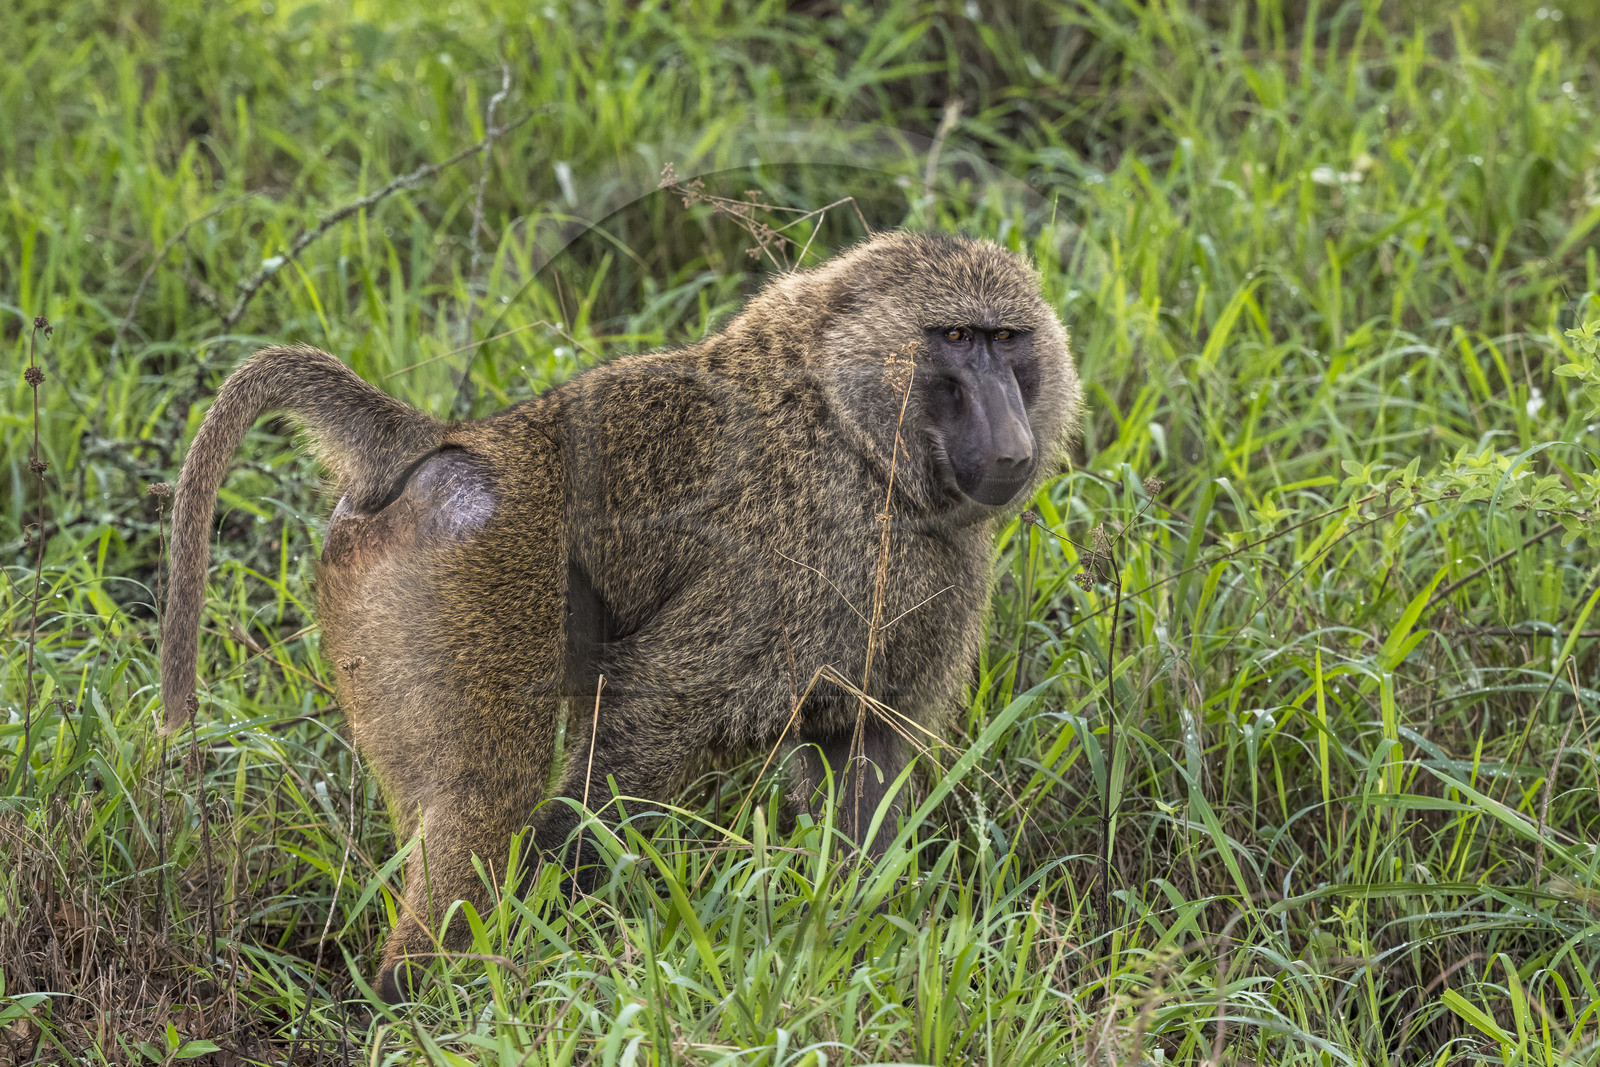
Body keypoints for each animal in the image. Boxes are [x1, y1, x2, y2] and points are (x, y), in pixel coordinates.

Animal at [159, 230, 1081, 1002]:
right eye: (954, 338)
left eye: (1008, 340)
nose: (1012, 445)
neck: (849, 426)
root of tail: (455, 441)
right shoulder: (808, 557)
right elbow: (644, 730)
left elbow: (863, 761)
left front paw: (872, 940)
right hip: (469, 574)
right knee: (483, 799)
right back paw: (418, 996)